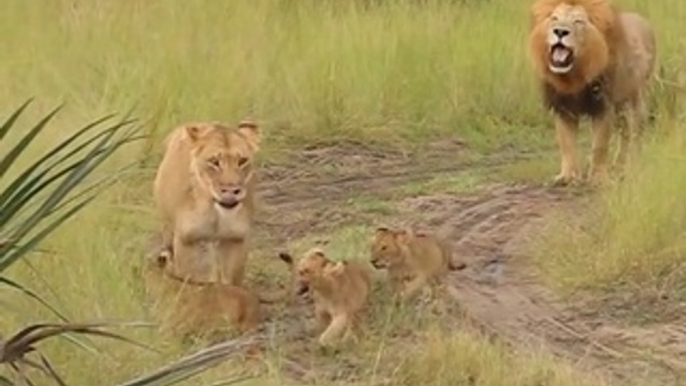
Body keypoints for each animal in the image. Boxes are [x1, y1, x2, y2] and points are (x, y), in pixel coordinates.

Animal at [153, 122, 260, 284]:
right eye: (214, 162)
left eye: (242, 161)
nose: (231, 191)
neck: (215, 212)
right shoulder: (187, 240)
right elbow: (193, 277)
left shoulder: (236, 239)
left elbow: (229, 280)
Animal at [528, 0, 660, 185]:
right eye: (554, 19)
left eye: (578, 21)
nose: (560, 31)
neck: (574, 76)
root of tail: (644, 21)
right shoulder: (563, 109)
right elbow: (566, 144)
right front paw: (568, 176)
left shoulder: (603, 106)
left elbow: (600, 144)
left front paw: (597, 177)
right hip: (622, 107)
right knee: (625, 133)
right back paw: (619, 166)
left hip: (637, 99)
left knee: (635, 132)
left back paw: (631, 165)